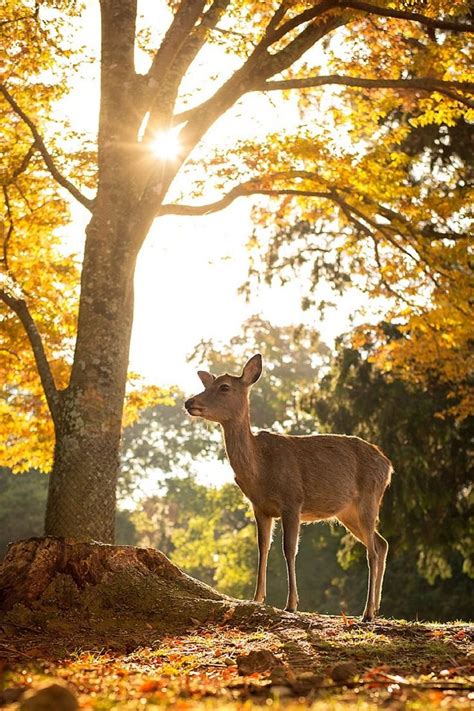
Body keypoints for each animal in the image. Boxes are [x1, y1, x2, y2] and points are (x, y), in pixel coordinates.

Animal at [185, 354, 392, 620]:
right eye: (207, 384)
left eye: (224, 387)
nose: (189, 402)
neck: (261, 469)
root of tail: (388, 465)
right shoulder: (260, 507)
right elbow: (263, 547)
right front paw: (257, 598)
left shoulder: (292, 500)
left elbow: (289, 549)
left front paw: (291, 604)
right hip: (347, 512)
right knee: (381, 543)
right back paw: (376, 607)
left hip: (369, 497)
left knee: (372, 551)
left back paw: (366, 613)